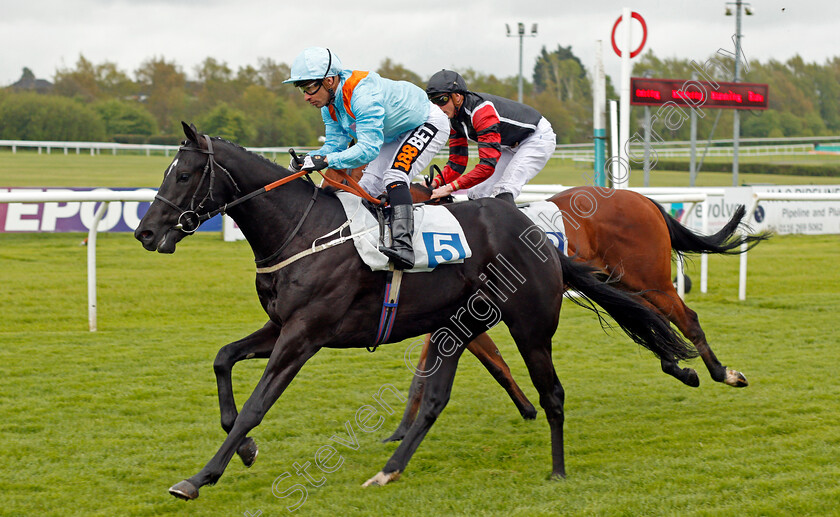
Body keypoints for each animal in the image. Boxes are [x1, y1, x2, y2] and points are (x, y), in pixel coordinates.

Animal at [133, 123, 696, 498]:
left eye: (184, 174)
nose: (145, 231)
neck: (301, 229)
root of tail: (536, 233)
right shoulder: (281, 325)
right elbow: (223, 358)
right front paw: (245, 449)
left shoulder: (304, 335)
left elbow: (256, 404)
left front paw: (200, 477)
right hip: (457, 324)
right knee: (436, 400)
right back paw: (389, 469)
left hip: (531, 324)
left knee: (554, 392)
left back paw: (557, 471)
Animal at [386, 180, 768, 440]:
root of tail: (641, 198)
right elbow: (471, 365)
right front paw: (401, 432)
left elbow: (466, 365)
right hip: (622, 282)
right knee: (649, 321)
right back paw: (680, 368)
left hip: (652, 278)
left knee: (686, 320)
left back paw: (724, 373)